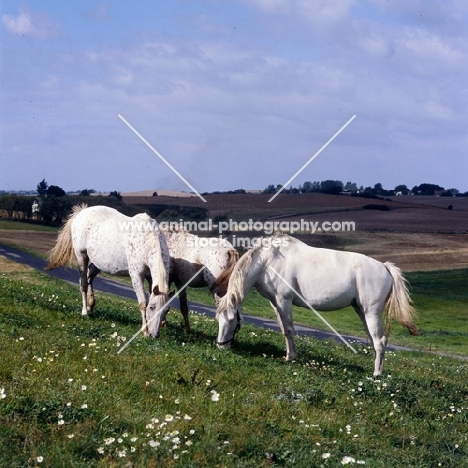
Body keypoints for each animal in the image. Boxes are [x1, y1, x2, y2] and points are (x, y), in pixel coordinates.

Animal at [46, 205, 174, 336]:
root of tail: (81, 212)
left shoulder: (150, 277)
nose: (154, 334)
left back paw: (90, 305)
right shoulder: (136, 275)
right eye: (152, 307)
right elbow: (143, 303)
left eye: (167, 310)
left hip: (98, 263)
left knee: (89, 277)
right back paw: (85, 312)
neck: (147, 240)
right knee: (83, 283)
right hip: (81, 256)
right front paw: (144, 330)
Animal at [215, 234, 416, 376]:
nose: (221, 346)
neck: (268, 261)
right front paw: (288, 355)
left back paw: (377, 375)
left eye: (233, 320)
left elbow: (289, 330)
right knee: (376, 342)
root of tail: (385, 267)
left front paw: (291, 357)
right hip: (362, 311)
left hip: (371, 313)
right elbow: (283, 329)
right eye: (218, 319)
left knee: (380, 342)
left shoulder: (284, 301)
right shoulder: (275, 304)